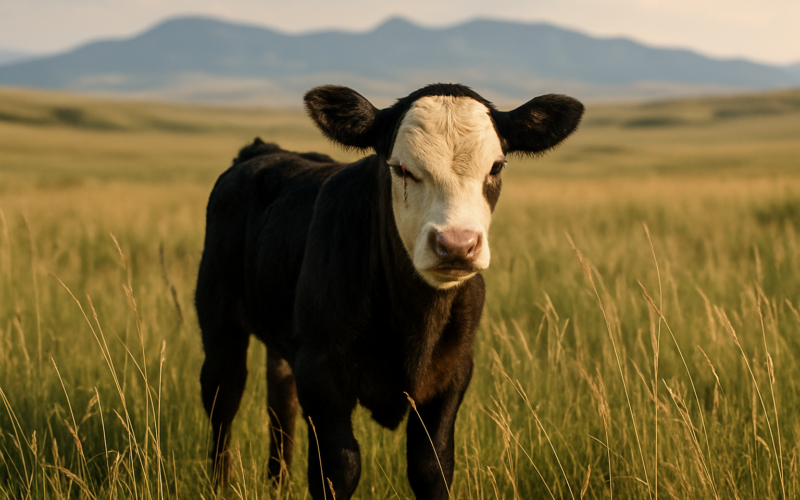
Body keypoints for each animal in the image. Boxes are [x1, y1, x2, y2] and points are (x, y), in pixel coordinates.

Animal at [195, 83, 583, 499]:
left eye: (496, 167)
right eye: (401, 168)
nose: (456, 244)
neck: (413, 320)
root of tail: (261, 152)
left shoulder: (454, 372)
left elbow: (433, 465)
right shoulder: (319, 369)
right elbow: (338, 467)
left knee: (280, 399)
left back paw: (277, 483)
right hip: (218, 319)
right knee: (223, 397)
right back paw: (219, 484)